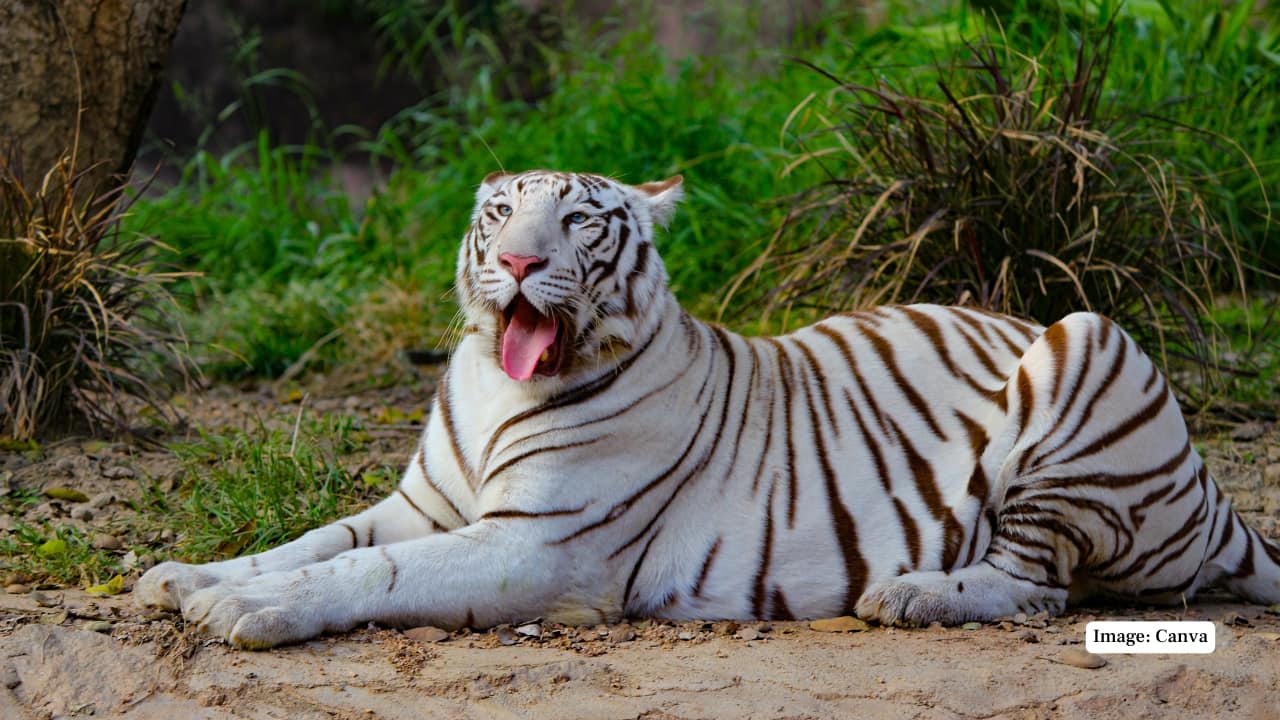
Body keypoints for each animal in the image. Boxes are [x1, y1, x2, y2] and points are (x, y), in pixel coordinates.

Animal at [135, 169, 1280, 649]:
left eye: (579, 222)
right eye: (500, 213)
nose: (518, 264)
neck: (503, 383)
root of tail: (1216, 497)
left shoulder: (534, 547)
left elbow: (365, 572)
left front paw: (243, 612)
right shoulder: (423, 505)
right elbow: (315, 540)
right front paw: (184, 577)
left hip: (1086, 341)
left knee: (1037, 584)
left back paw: (914, 595)